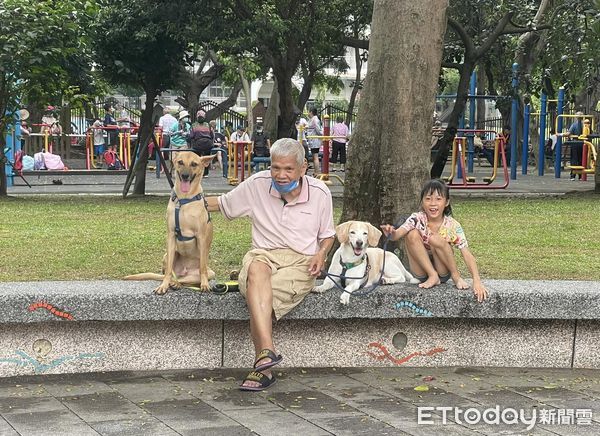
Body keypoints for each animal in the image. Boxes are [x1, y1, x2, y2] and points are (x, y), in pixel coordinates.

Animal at [124, 152, 216, 294]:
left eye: (194, 164)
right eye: (180, 162)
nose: (185, 176)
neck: (184, 200)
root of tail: (184, 272)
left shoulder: (201, 237)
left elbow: (202, 269)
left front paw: (205, 284)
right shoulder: (171, 236)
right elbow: (167, 271)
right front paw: (163, 286)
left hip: (210, 272)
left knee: (191, 278)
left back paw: (180, 283)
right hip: (167, 255)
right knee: (173, 274)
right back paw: (173, 283)